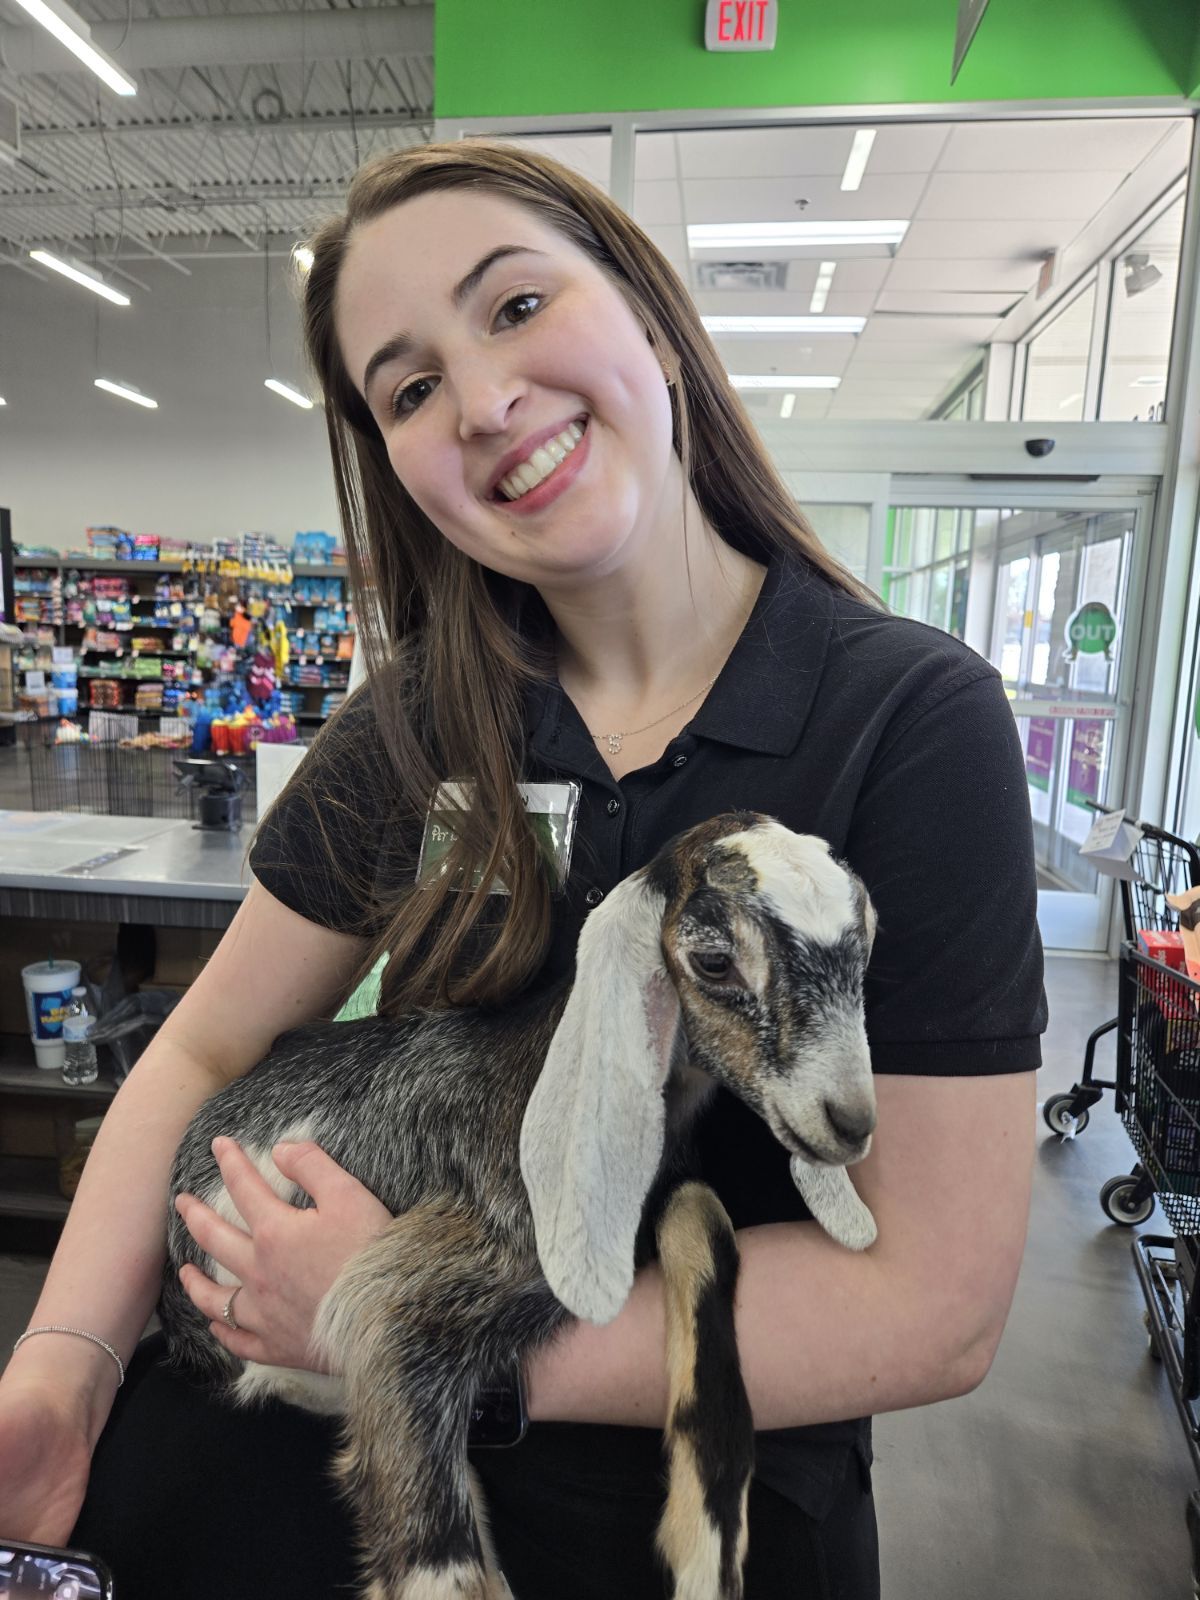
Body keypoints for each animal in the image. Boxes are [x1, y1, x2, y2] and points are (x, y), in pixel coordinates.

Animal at [159, 812, 880, 1600]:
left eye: (866, 947)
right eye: (715, 962)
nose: (851, 1122)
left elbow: (706, 1220)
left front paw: (707, 1552)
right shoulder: (393, 1306)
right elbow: (435, 1566)